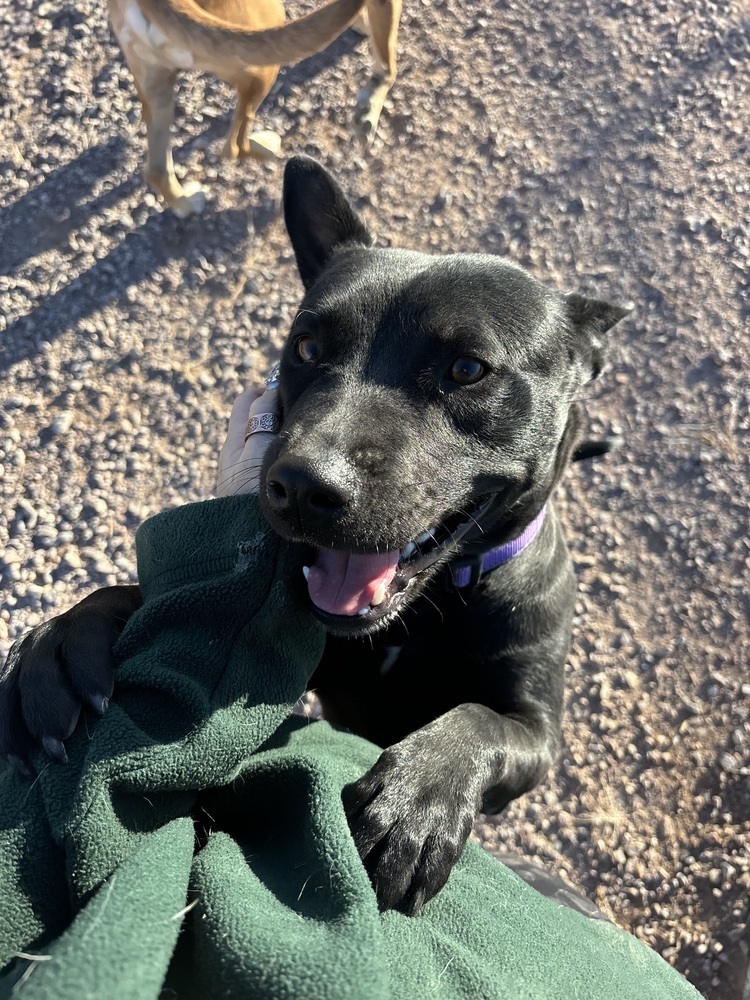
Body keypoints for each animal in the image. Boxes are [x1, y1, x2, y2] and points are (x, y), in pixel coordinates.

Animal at [0, 156, 632, 916]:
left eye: (467, 370)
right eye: (304, 347)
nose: (300, 485)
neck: (423, 615)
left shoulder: (536, 729)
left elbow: (479, 719)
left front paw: (415, 798)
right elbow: (152, 598)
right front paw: (62, 637)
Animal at [109, 0, 402, 215]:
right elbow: (388, 64)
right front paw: (369, 108)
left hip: (157, 85)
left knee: (157, 170)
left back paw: (185, 204)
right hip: (260, 56)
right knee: (234, 146)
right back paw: (269, 148)